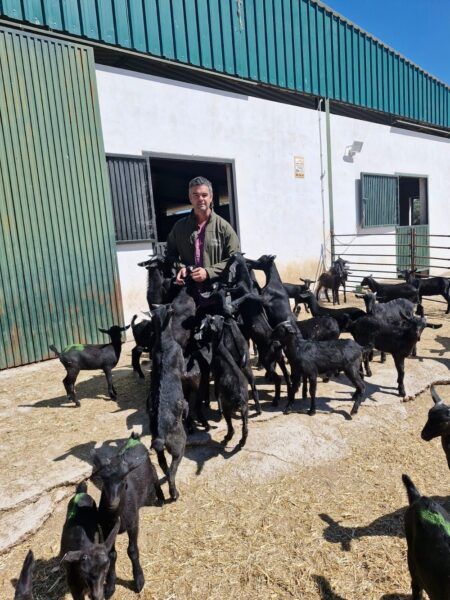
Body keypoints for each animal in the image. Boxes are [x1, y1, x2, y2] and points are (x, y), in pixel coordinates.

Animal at [92, 434, 163, 596]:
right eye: (103, 480)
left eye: (124, 480)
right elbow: (111, 554)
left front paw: (139, 580)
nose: (113, 502)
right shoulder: (106, 528)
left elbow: (132, 550)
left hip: (151, 469)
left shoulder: (133, 523)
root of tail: (134, 438)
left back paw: (161, 498)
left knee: (156, 477)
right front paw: (110, 586)